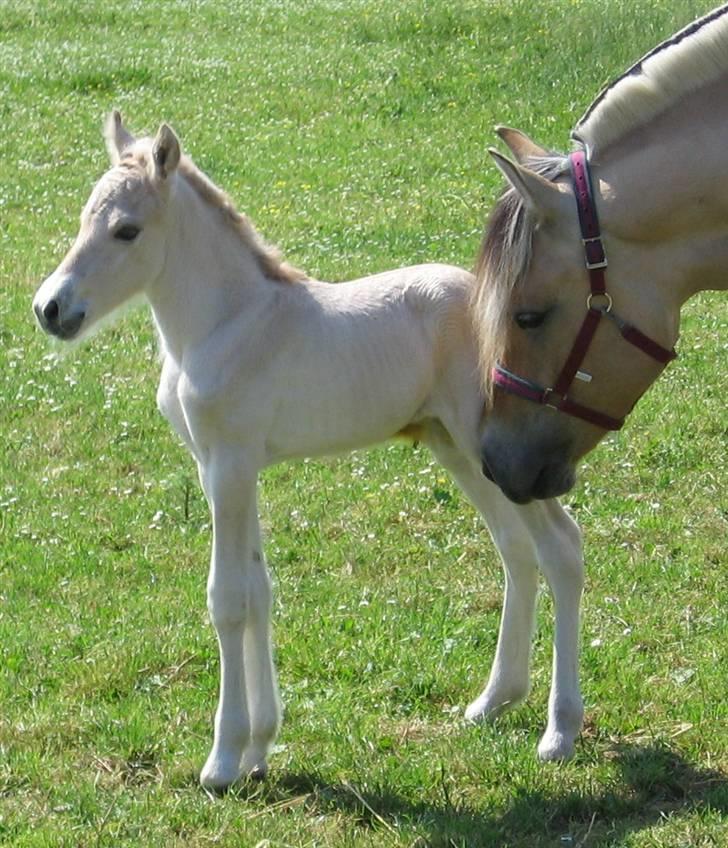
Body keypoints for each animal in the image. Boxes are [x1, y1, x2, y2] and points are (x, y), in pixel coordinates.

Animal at [34, 116, 584, 792]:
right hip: (460, 447)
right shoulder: (220, 468)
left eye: (126, 230)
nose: (50, 309)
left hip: (494, 450)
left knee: (560, 548)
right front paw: (260, 747)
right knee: (516, 549)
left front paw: (223, 760)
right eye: (85, 217)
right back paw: (494, 700)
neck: (227, 323)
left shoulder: (231, 465)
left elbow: (228, 598)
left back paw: (559, 731)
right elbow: (258, 588)